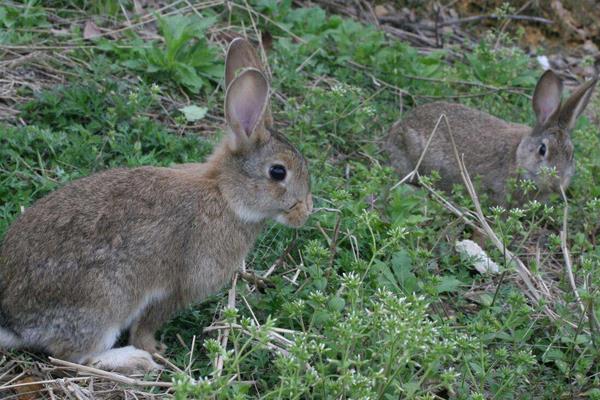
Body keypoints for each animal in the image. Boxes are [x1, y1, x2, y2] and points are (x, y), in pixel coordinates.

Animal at [0, 39, 312, 374]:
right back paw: (134, 359)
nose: (305, 211)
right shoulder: (176, 289)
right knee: (72, 356)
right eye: (278, 172)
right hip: (104, 302)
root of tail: (13, 321)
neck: (226, 196)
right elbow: (146, 326)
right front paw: (154, 350)